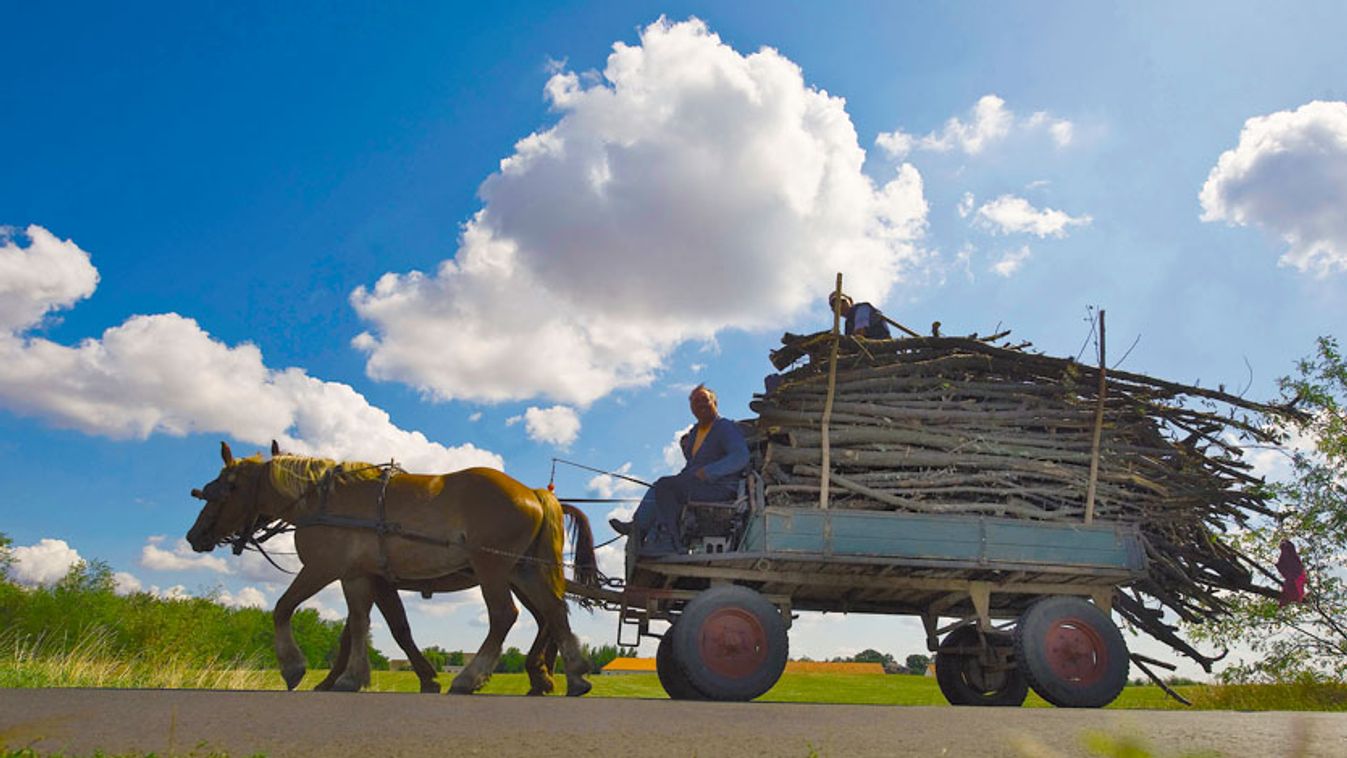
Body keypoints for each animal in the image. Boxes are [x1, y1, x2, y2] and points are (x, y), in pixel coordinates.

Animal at [185, 441, 600, 694]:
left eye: (224, 488)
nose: (194, 535)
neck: (321, 501)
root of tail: (534, 492)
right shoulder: (363, 576)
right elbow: (372, 626)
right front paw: (355, 676)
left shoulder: (323, 568)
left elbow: (284, 608)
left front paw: (295, 667)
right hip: (523, 569)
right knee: (552, 611)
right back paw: (573, 675)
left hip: (492, 567)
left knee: (505, 616)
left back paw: (472, 677)